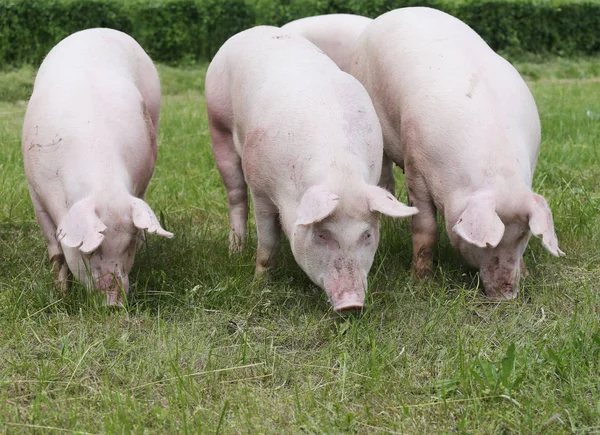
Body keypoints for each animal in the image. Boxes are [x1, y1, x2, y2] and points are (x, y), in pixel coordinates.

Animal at [22, 28, 172, 306]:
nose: (113, 303)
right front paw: (61, 294)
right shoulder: (36, 192)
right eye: (89, 251)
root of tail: (100, 30)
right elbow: (54, 248)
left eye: (128, 246)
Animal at [206, 26, 418, 314]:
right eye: (322, 234)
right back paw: (235, 252)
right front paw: (259, 284)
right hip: (218, 125)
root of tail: (253, 29)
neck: (339, 171)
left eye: (366, 234)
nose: (352, 304)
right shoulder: (261, 188)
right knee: (236, 195)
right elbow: (267, 243)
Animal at [350, 6, 564, 300]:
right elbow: (425, 228)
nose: (507, 294)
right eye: (487, 243)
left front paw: (527, 273)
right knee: (384, 171)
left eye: (524, 235)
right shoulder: (416, 166)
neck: (499, 172)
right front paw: (421, 283)